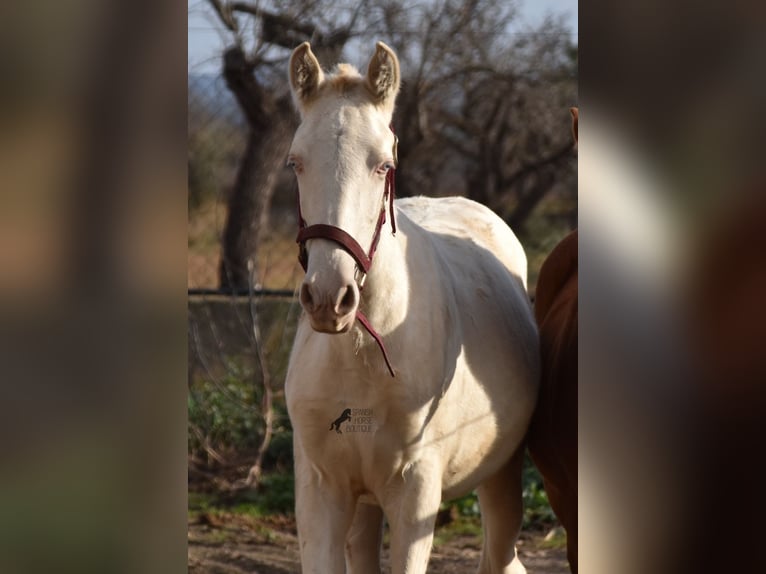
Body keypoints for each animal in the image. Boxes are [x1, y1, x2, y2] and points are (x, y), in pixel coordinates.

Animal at [284, 41, 540, 574]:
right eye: (296, 162)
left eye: (382, 164)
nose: (329, 297)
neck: (362, 356)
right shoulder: (322, 492)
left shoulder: (416, 493)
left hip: (503, 477)